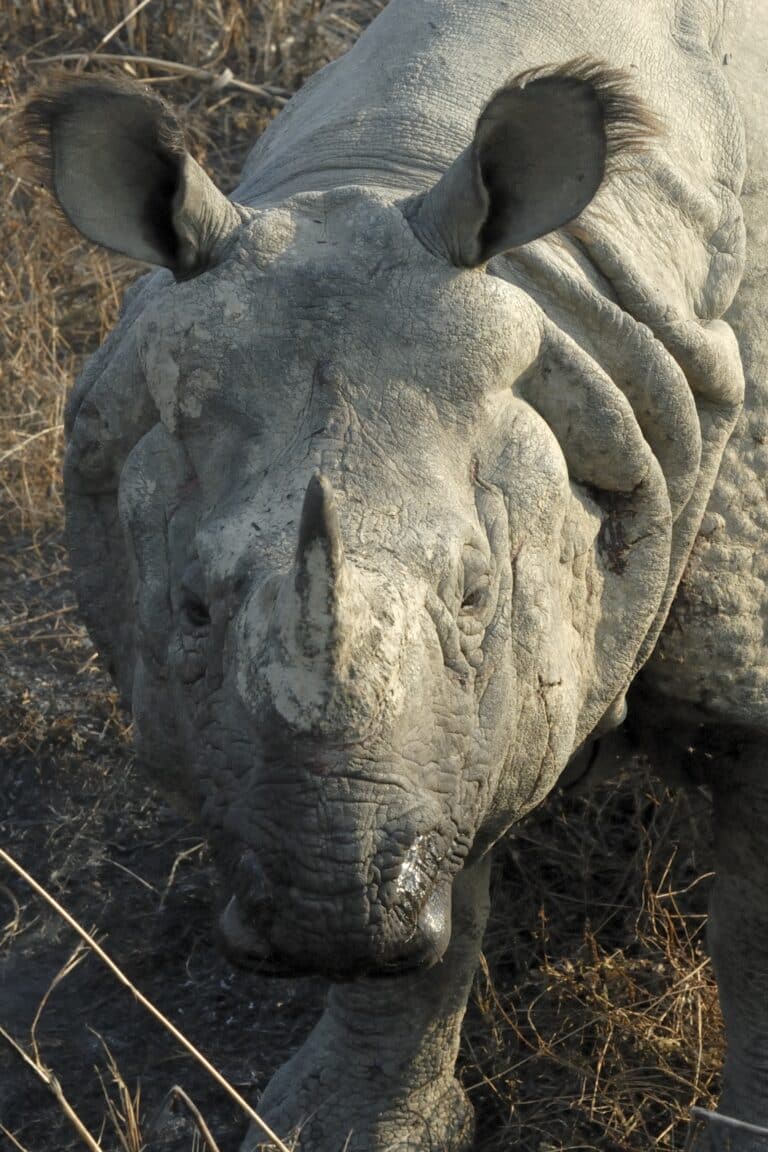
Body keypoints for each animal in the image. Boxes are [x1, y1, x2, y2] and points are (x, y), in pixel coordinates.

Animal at [21, 0, 768, 1148]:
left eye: (477, 594)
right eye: (189, 610)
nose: (328, 915)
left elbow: (755, 928)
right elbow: (437, 893)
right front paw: (346, 1121)